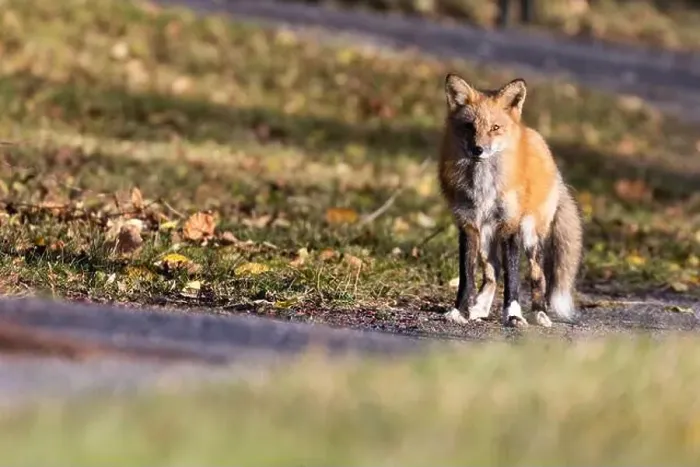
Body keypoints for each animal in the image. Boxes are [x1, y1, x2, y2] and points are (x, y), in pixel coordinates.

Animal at [438, 73, 583, 327]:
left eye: (495, 128)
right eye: (469, 127)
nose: (478, 150)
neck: (483, 185)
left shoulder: (510, 226)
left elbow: (513, 278)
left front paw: (513, 315)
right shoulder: (467, 225)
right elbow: (466, 277)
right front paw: (460, 311)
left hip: (530, 234)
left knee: (538, 276)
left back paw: (539, 313)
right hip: (486, 236)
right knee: (493, 271)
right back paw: (480, 309)